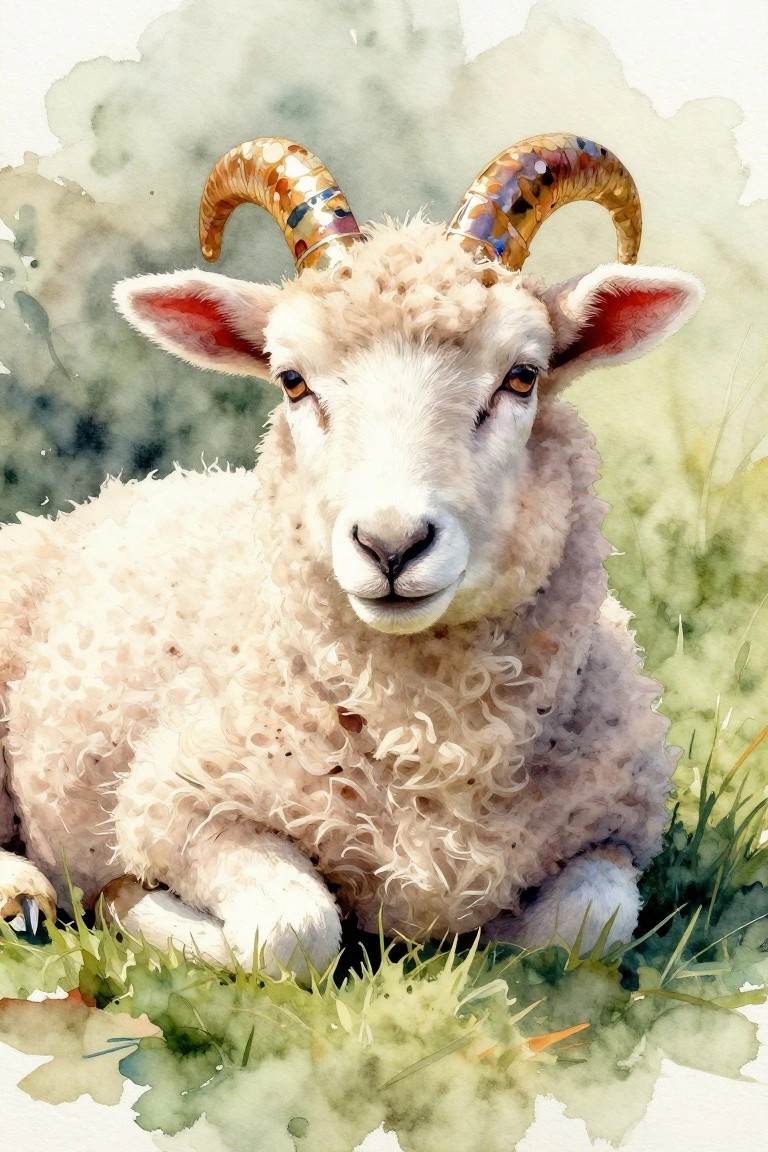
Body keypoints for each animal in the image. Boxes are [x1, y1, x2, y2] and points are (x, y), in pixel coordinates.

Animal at [0, 135, 703, 979]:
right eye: (291, 380)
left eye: (522, 376)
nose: (391, 543)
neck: (428, 745)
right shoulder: (175, 802)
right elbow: (292, 931)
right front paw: (126, 904)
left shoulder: (616, 828)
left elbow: (585, 927)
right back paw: (23, 896)